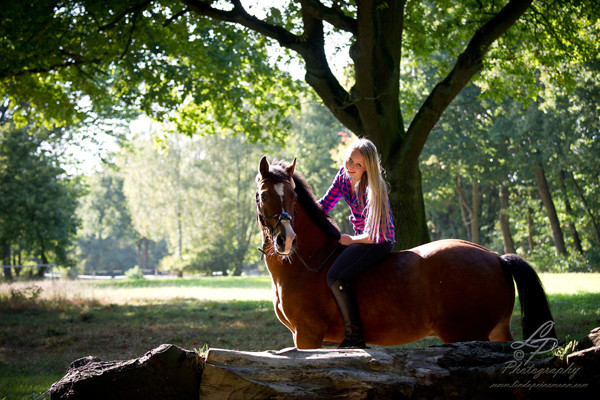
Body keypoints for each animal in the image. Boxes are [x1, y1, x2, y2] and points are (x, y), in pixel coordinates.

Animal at [255, 158, 556, 348]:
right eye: (264, 196)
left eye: (293, 197)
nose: (285, 240)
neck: (310, 262)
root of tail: (496, 258)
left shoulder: (307, 336)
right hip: (496, 332)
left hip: (468, 334)